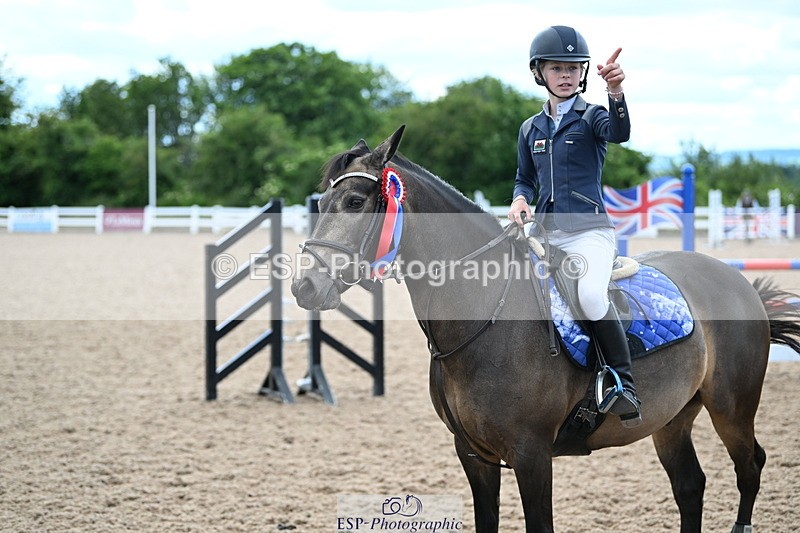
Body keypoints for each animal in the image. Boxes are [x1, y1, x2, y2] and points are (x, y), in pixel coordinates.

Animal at [291, 126, 800, 532]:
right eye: (322, 203)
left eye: (356, 201)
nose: (304, 286)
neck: (482, 315)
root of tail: (735, 280)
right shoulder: (473, 454)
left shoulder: (531, 455)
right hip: (672, 418)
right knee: (691, 486)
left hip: (731, 407)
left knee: (750, 467)